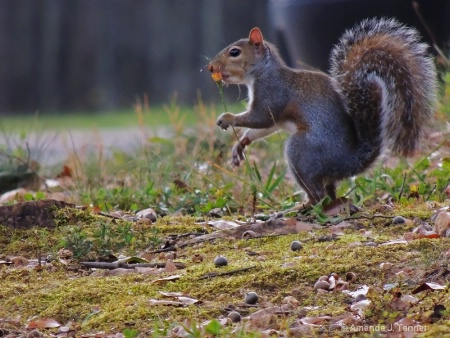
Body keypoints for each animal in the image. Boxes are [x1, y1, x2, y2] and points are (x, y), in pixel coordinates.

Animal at [209, 18, 438, 205]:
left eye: (235, 52)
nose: (211, 68)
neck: (263, 72)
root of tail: (348, 162)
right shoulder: (275, 115)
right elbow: (264, 128)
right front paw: (241, 145)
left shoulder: (272, 94)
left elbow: (260, 118)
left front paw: (227, 118)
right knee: (329, 192)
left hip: (301, 150)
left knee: (317, 193)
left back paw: (305, 206)